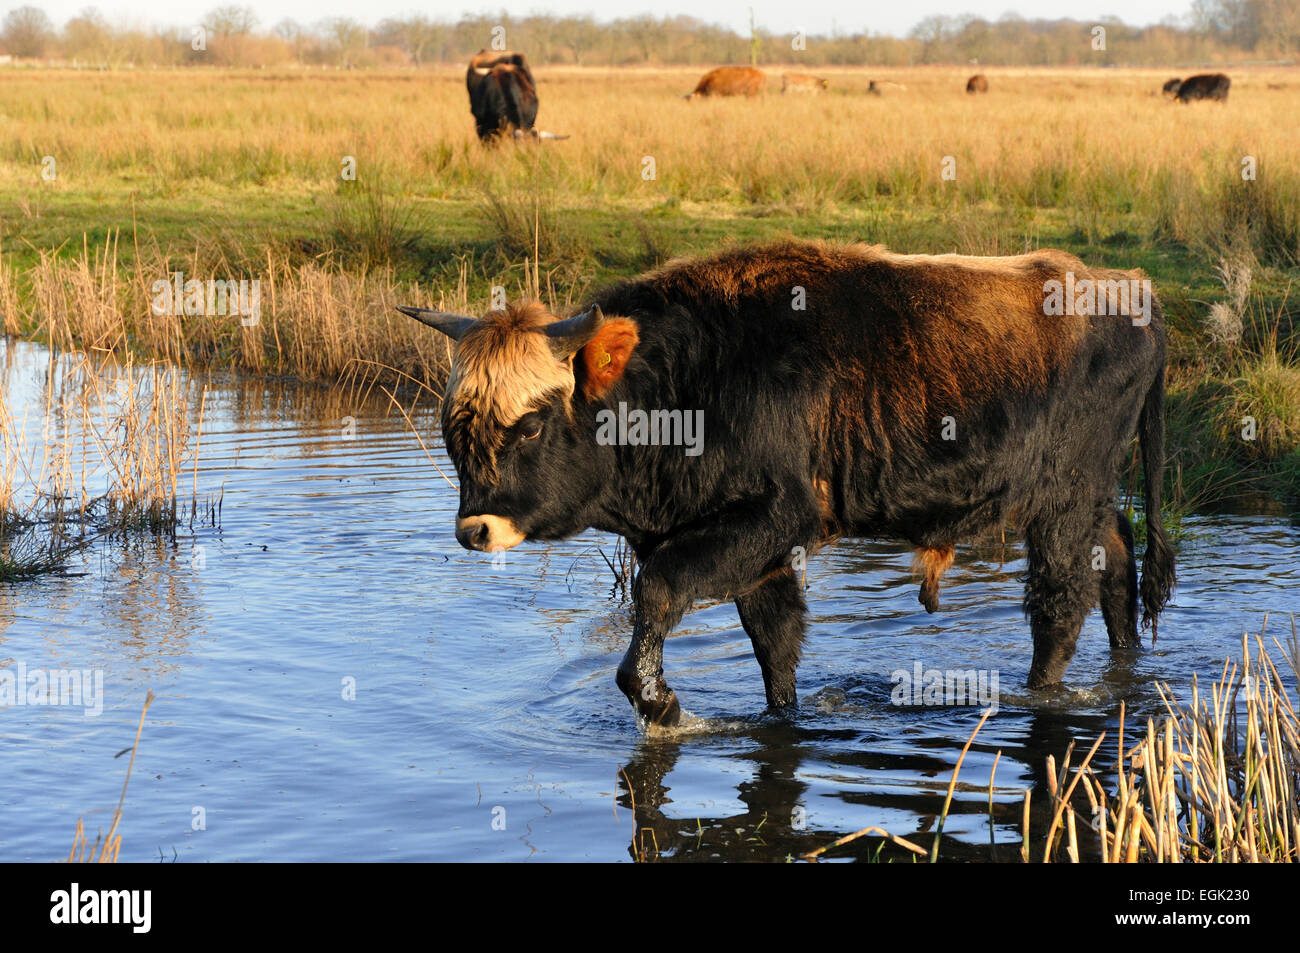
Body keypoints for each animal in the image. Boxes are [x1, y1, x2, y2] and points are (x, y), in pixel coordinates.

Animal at [398, 239, 1175, 728]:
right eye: (451, 425)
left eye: (530, 425)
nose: (475, 529)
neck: (687, 381)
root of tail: (1132, 288)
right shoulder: (754, 547)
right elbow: (775, 643)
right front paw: (779, 716)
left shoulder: (772, 517)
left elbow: (659, 592)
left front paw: (659, 702)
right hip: (1088, 498)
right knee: (1117, 559)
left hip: (1063, 501)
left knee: (1060, 604)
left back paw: (1041, 693)